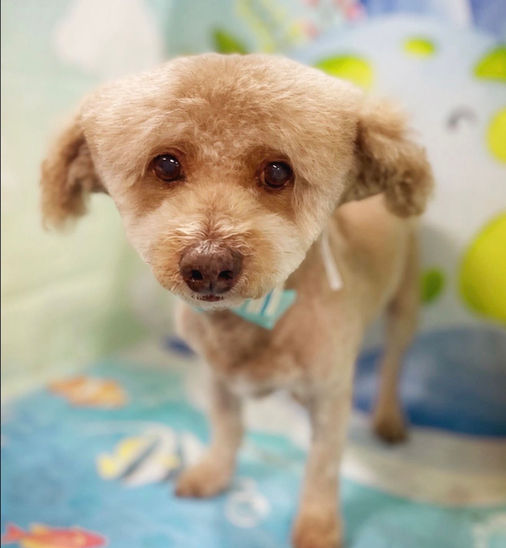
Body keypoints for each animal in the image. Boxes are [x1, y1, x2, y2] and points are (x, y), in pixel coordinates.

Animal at [41, 53, 433, 548]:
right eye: (165, 164)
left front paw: (318, 526)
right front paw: (213, 473)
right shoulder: (219, 377)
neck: (256, 317)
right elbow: (227, 430)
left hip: (406, 300)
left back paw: (388, 416)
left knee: (394, 361)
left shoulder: (330, 395)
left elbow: (322, 467)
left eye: (278, 171)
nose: (209, 265)